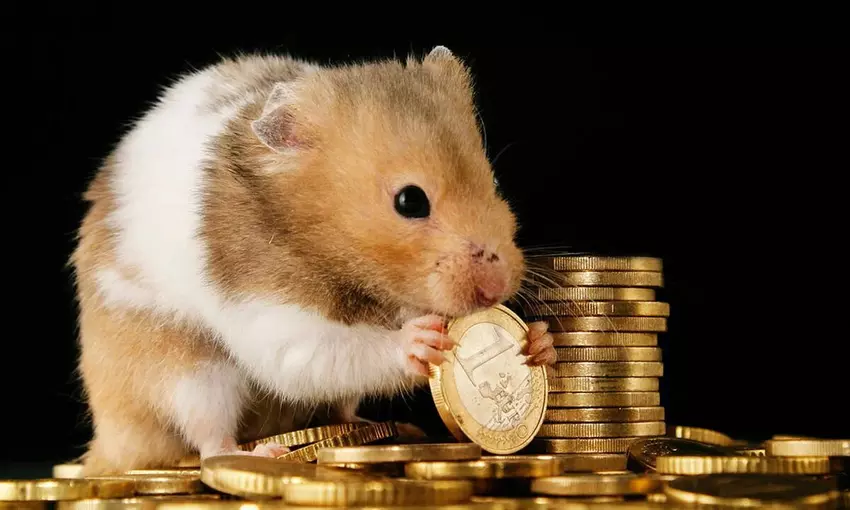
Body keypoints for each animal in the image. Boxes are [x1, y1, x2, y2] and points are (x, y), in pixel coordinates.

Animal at [70, 46, 557, 475]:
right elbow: (319, 352)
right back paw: (259, 453)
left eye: (494, 182)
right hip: (184, 369)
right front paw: (420, 342)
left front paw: (539, 342)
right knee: (209, 438)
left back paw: (383, 428)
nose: (497, 289)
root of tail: (111, 443)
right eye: (410, 201)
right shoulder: (266, 307)